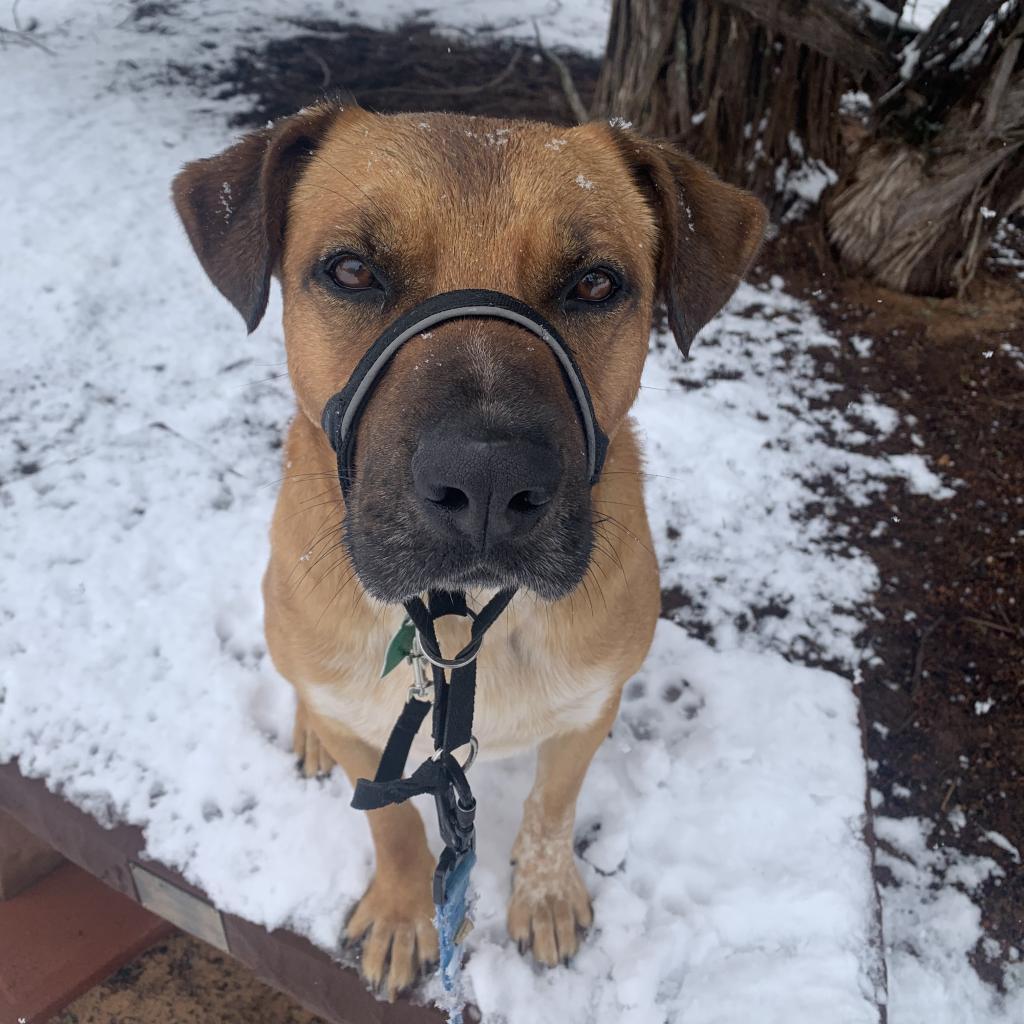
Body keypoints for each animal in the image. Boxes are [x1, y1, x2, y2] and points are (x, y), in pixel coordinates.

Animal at [174, 99, 770, 995]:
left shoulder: (591, 708)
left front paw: (547, 896)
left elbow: (552, 807)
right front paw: (402, 914)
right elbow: (394, 826)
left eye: (596, 283)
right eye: (352, 270)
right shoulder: (371, 743)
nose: (488, 482)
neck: (464, 631)